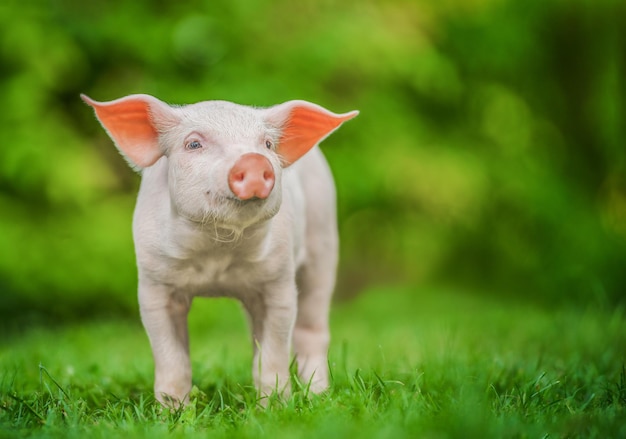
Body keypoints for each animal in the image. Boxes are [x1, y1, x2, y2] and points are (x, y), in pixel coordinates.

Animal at [82, 94, 356, 408]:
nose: (253, 160)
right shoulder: (154, 283)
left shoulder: (279, 279)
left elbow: (275, 350)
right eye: (193, 144)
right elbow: (171, 357)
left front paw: (273, 409)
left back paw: (318, 397)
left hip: (324, 241)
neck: (216, 257)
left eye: (267, 144)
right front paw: (173, 412)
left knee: (312, 330)